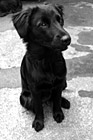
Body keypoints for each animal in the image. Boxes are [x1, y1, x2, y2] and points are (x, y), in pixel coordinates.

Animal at [12, 3, 71, 132]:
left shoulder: (59, 82)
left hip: (65, 83)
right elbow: (38, 107)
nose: (67, 39)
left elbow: (57, 100)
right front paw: (39, 121)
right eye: (43, 24)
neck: (47, 59)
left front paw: (58, 113)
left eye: (59, 20)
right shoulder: (35, 89)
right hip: (25, 98)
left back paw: (64, 102)